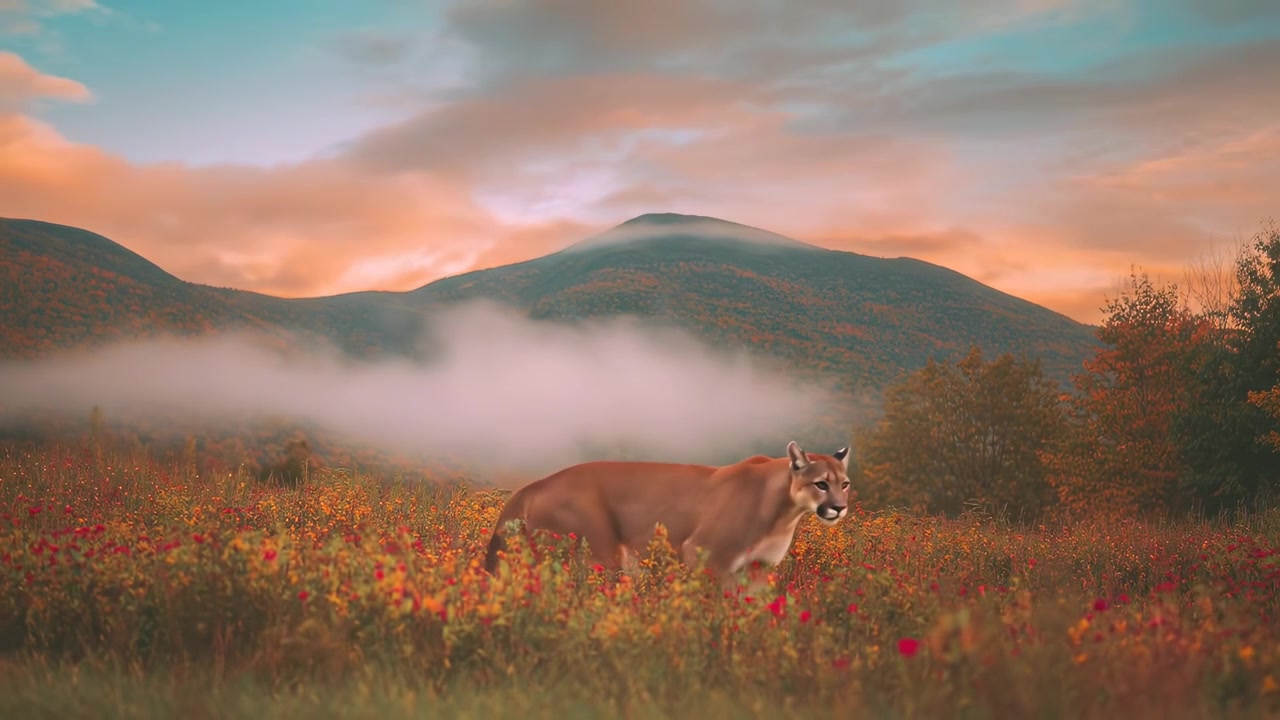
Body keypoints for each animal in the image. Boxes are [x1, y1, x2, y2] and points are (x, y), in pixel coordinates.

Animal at [482, 441, 852, 587]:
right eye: (821, 484)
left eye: (845, 483)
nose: (839, 507)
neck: (782, 512)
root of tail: (534, 484)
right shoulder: (706, 554)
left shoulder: (758, 568)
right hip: (599, 553)